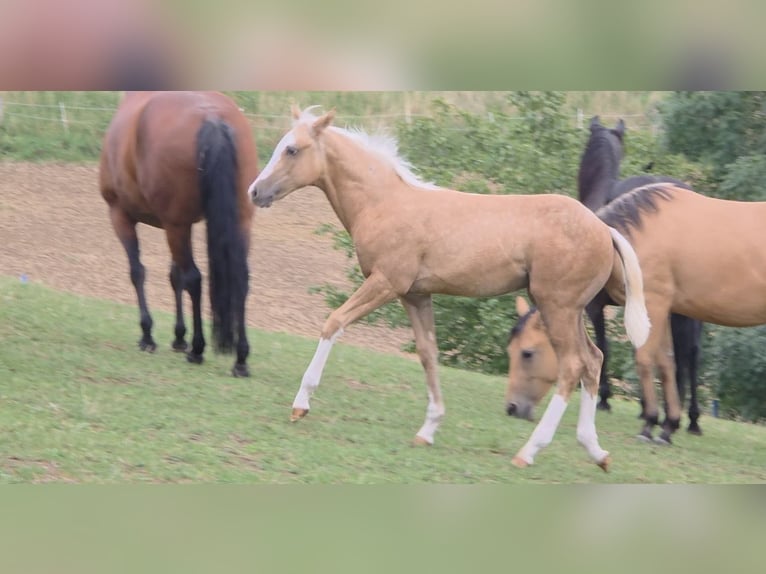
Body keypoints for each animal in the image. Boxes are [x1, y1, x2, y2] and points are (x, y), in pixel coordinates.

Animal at [99, 91, 258, 376]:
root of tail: (211, 116)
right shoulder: (181, 225)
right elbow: (174, 277)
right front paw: (178, 336)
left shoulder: (121, 215)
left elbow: (138, 272)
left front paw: (148, 335)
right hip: (238, 223)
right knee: (239, 280)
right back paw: (240, 359)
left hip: (174, 226)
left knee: (194, 278)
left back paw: (197, 349)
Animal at [248, 105, 651, 470]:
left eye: (292, 149)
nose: (255, 191)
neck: (384, 202)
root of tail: (604, 229)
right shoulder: (415, 295)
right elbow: (428, 353)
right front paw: (428, 429)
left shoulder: (386, 282)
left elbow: (334, 322)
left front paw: (300, 404)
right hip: (569, 309)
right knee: (593, 361)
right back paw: (595, 451)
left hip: (558, 306)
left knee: (573, 366)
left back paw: (529, 451)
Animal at [506, 182, 766, 444]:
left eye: (527, 353)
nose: (512, 407)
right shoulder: (662, 310)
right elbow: (666, 363)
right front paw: (668, 425)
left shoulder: (655, 303)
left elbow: (644, 359)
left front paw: (650, 422)